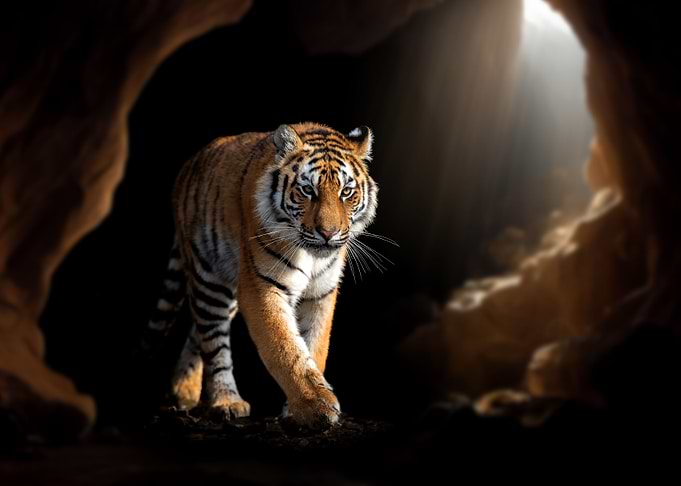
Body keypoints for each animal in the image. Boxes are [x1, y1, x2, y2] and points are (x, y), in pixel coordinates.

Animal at [143, 122, 378, 429]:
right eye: (307, 190)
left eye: (347, 192)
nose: (328, 233)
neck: (312, 256)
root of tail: (189, 165)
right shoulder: (261, 286)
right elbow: (285, 348)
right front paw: (315, 407)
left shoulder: (321, 293)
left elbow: (315, 346)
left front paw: (299, 408)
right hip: (209, 278)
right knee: (213, 342)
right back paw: (225, 401)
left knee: (199, 332)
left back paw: (183, 392)